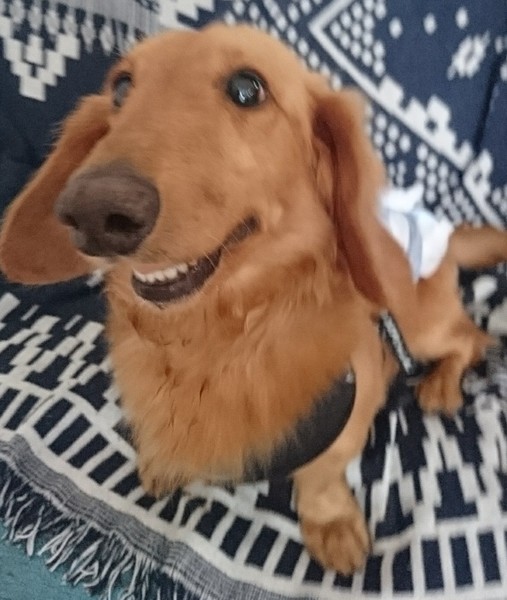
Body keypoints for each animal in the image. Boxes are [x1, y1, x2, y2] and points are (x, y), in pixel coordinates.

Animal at [1, 24, 507, 574]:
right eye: (121, 88)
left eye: (247, 88)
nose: (93, 211)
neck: (217, 337)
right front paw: (163, 462)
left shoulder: (348, 418)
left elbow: (319, 479)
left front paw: (331, 523)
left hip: (418, 324)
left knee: (471, 339)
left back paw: (441, 386)